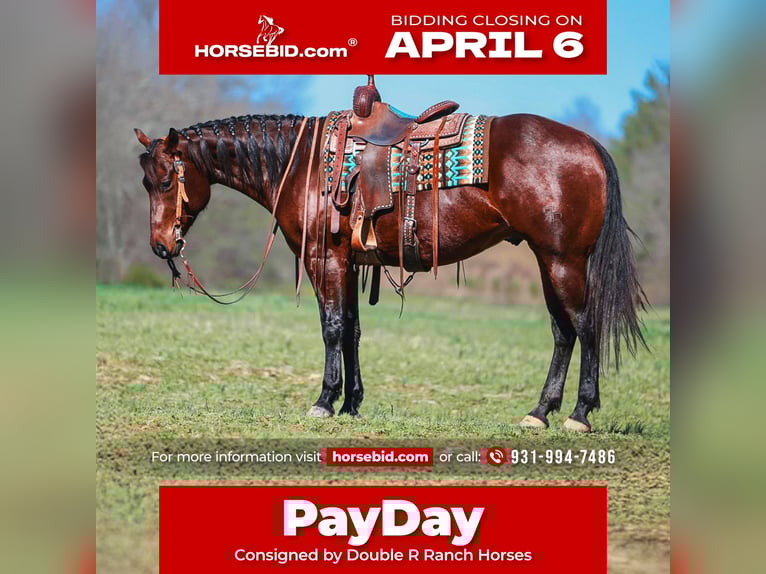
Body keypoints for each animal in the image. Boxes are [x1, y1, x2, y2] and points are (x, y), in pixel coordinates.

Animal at [134, 104, 646, 432]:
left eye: (165, 181)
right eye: (145, 183)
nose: (160, 246)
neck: (301, 165)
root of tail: (588, 145)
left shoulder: (324, 259)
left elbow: (332, 328)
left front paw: (324, 402)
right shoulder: (349, 262)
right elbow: (352, 330)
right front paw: (351, 405)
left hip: (563, 261)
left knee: (586, 326)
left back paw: (579, 414)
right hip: (548, 261)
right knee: (563, 331)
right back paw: (539, 413)